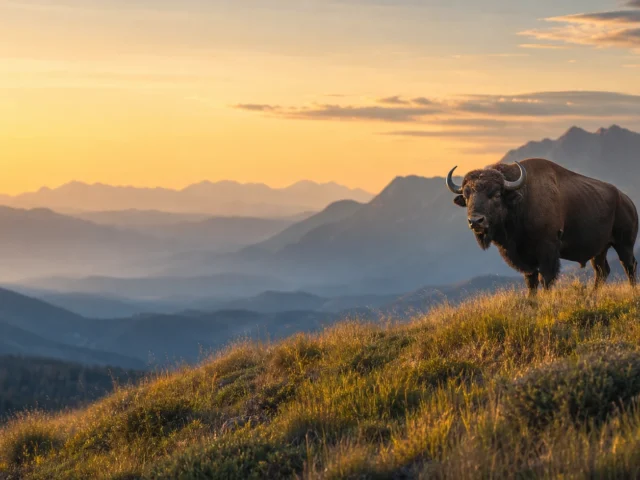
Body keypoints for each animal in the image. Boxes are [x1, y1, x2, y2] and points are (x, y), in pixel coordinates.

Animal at [446, 158, 638, 295]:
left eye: (496, 194)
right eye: (467, 195)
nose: (475, 221)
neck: (522, 200)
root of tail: (627, 200)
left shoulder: (547, 251)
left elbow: (546, 278)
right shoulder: (525, 259)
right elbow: (531, 282)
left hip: (624, 244)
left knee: (629, 265)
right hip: (599, 250)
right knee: (602, 271)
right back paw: (593, 294)